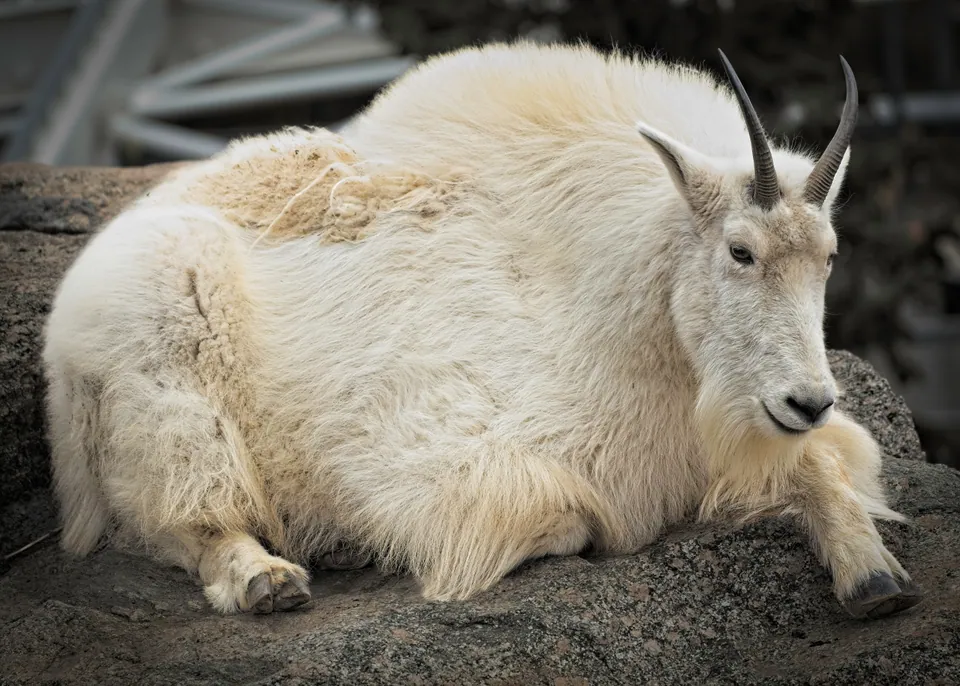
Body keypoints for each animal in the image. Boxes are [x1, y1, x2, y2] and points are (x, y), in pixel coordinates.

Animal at [42, 41, 921, 619]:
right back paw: (270, 578)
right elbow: (563, 517)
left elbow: (819, 469)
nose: (809, 400)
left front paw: (875, 579)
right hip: (166, 381)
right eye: (741, 250)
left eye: (830, 257)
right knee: (177, 517)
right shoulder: (437, 449)